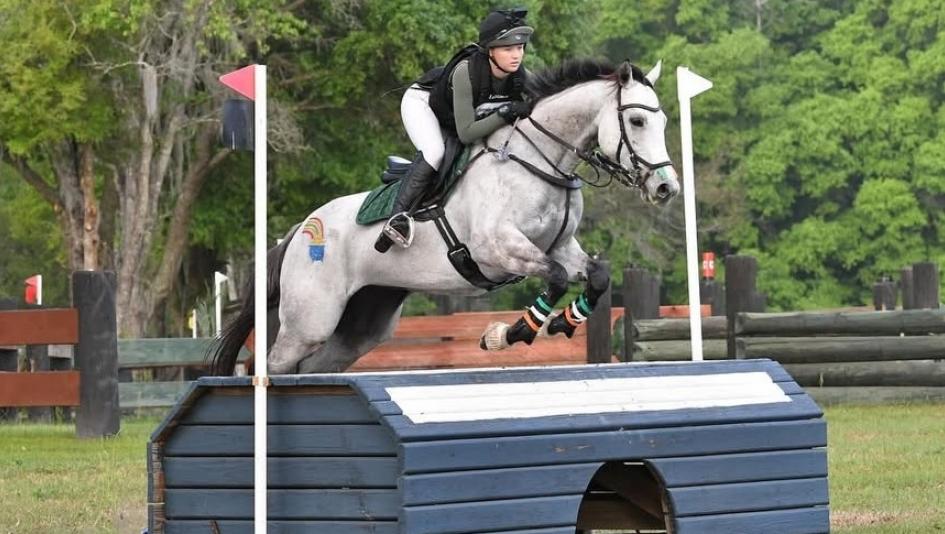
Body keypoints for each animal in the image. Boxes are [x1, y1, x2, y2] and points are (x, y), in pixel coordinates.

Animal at [210, 58, 679, 375]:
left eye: (663, 122)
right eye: (637, 120)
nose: (666, 188)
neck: (538, 159)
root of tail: (297, 233)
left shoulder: (561, 246)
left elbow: (596, 276)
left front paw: (564, 323)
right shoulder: (498, 249)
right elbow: (557, 277)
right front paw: (512, 334)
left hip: (361, 324)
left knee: (313, 371)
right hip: (310, 320)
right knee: (273, 366)